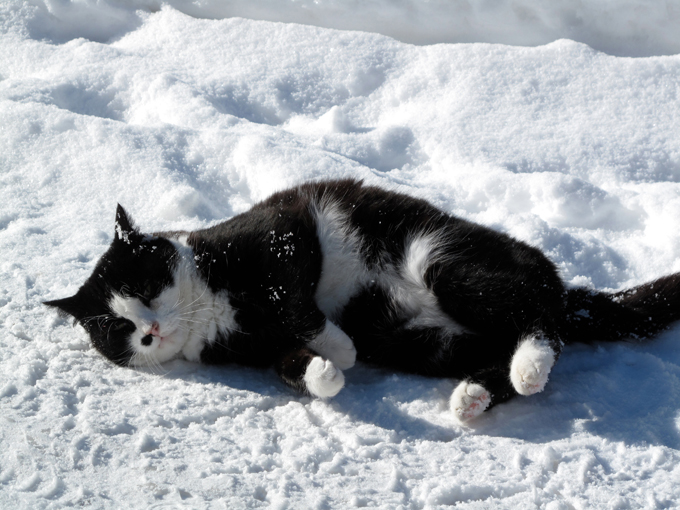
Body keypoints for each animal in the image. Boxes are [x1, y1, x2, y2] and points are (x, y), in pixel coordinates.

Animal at [43, 178, 680, 422]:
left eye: (144, 290)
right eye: (116, 329)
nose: (148, 331)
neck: (208, 305)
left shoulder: (281, 231)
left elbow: (290, 296)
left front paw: (338, 347)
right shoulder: (253, 350)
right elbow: (290, 365)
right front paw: (328, 373)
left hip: (445, 262)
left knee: (542, 318)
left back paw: (528, 367)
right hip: (426, 343)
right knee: (506, 347)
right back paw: (474, 396)